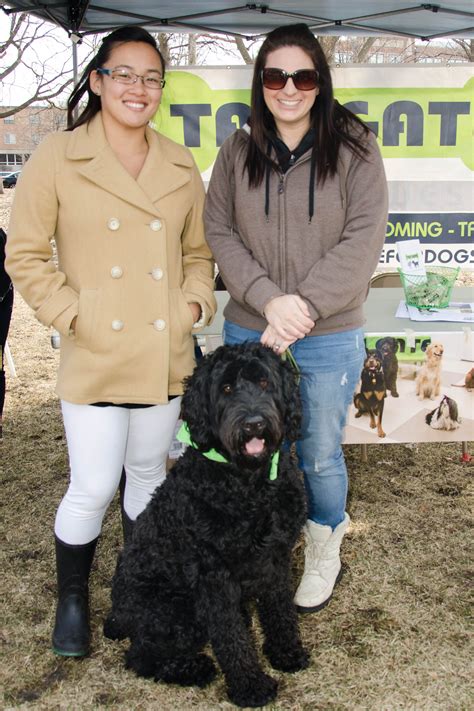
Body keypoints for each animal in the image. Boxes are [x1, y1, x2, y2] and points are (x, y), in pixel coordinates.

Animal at [104, 344, 310, 708]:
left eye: (264, 382)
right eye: (226, 389)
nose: (254, 424)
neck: (248, 484)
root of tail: (119, 612)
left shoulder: (276, 558)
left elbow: (280, 609)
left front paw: (286, 652)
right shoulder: (213, 576)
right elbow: (230, 636)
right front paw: (251, 686)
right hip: (173, 610)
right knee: (141, 656)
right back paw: (194, 668)